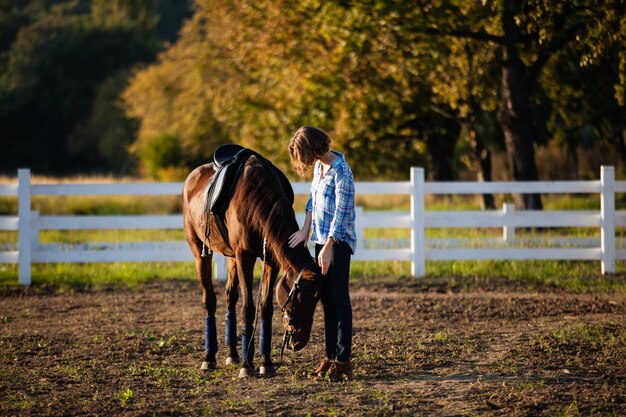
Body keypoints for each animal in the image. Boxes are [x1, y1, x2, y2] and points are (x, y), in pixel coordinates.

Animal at [182, 151, 322, 376]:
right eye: (299, 297)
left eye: (317, 299)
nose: (300, 341)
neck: (256, 197)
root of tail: (192, 177)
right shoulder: (245, 257)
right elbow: (248, 308)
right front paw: (247, 366)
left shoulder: (271, 260)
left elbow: (265, 307)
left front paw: (265, 362)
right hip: (200, 251)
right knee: (209, 300)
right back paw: (209, 357)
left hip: (231, 257)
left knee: (230, 298)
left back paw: (232, 354)